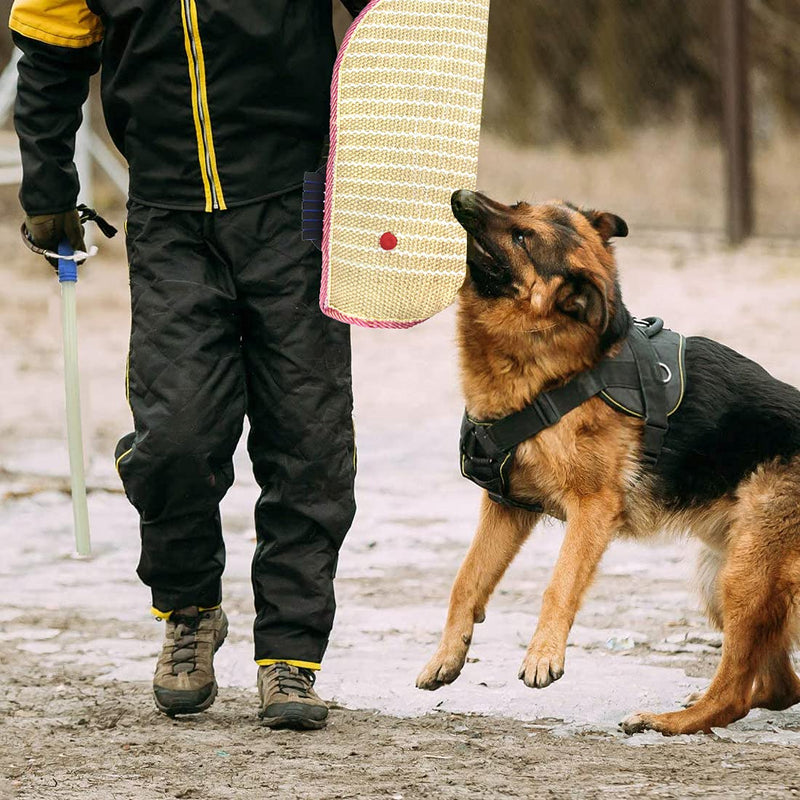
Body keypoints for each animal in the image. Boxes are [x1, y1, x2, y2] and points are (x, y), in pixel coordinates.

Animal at [416, 191, 800, 736]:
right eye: (518, 205)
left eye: (522, 238)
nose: (460, 196)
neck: (556, 367)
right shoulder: (507, 506)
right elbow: (466, 580)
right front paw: (447, 655)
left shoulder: (591, 511)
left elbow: (558, 585)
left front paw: (543, 656)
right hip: (720, 575)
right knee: (778, 687)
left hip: (744, 577)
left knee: (734, 692)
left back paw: (669, 720)